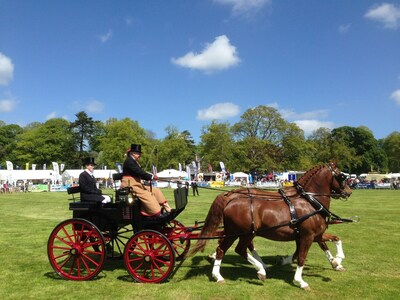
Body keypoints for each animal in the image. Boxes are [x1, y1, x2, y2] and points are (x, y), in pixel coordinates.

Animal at [190, 163, 350, 290]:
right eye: (342, 176)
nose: (348, 192)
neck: (310, 201)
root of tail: (230, 198)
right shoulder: (307, 236)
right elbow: (301, 257)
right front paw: (301, 281)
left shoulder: (314, 234)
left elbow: (333, 239)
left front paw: (337, 261)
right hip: (246, 233)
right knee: (239, 249)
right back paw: (260, 270)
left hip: (234, 232)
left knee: (222, 248)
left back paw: (218, 275)